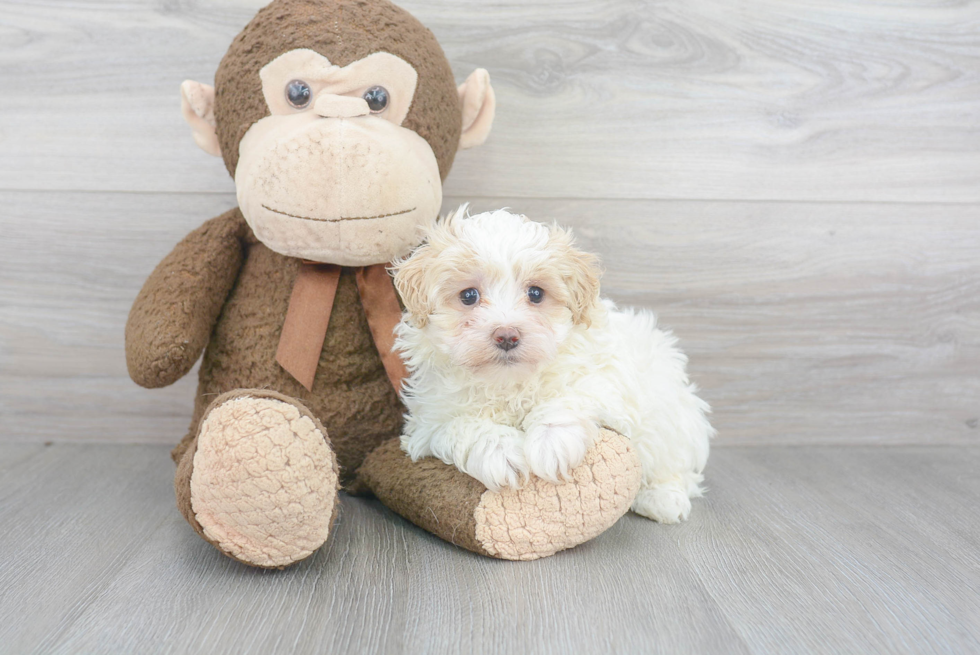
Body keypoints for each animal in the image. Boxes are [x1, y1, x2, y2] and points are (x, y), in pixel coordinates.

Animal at [388, 208, 712, 524]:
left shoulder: (603, 379)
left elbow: (569, 398)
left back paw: (662, 498)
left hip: (668, 413)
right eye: (469, 296)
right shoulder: (429, 420)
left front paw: (550, 442)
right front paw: (500, 451)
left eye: (536, 294)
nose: (507, 335)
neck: (509, 383)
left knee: (674, 462)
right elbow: (461, 425)